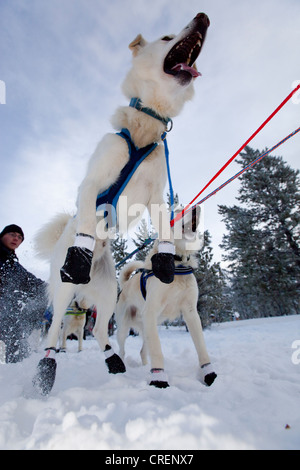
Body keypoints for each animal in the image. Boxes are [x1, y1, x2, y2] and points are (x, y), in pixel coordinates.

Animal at [116, 209, 217, 390]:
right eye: (178, 213)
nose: (195, 208)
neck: (177, 264)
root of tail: (125, 285)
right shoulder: (151, 310)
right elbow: (157, 351)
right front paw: (159, 379)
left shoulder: (191, 313)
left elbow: (201, 347)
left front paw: (208, 374)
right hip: (124, 328)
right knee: (122, 350)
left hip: (149, 327)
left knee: (143, 351)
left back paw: (144, 367)